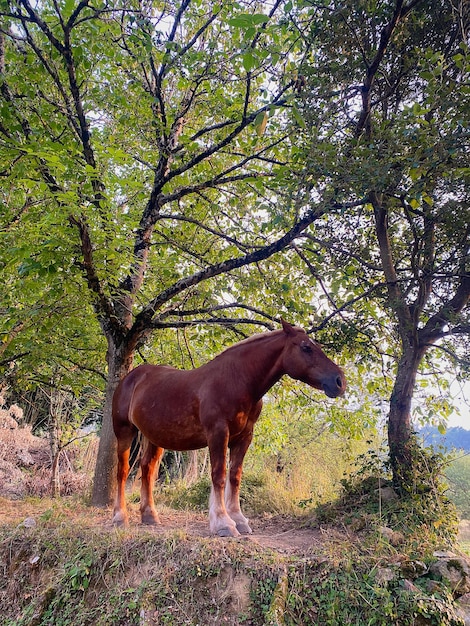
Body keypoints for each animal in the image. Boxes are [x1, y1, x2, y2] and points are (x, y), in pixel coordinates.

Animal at [110, 320, 346, 532]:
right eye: (306, 347)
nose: (339, 381)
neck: (237, 381)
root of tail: (131, 377)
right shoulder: (218, 433)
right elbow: (219, 475)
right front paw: (223, 523)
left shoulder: (244, 438)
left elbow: (235, 476)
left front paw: (238, 520)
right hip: (124, 431)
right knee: (122, 471)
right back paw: (120, 517)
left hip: (155, 438)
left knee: (147, 470)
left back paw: (150, 516)